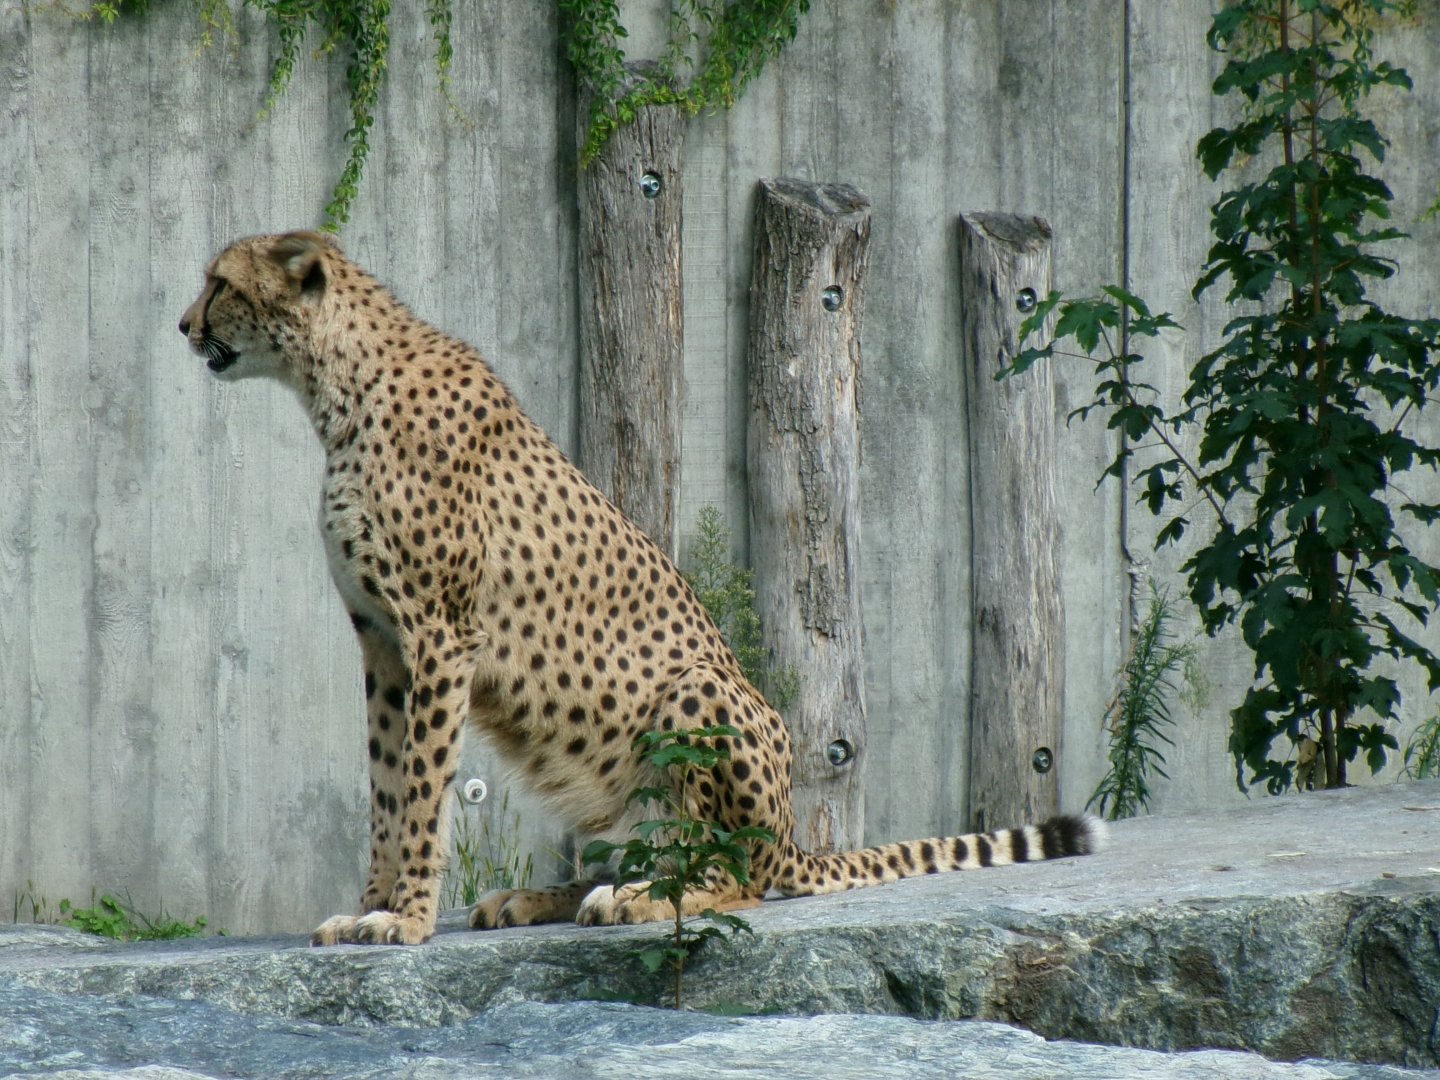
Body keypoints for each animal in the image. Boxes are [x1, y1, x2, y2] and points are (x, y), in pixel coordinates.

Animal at [178, 230, 1103, 946]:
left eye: (219, 282)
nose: (184, 326)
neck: (336, 388)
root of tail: (794, 833)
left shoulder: (440, 636)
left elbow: (421, 789)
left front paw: (403, 920)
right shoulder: (382, 645)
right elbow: (385, 784)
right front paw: (367, 908)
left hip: (696, 692)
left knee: (739, 880)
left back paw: (643, 900)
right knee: (637, 851)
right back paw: (547, 897)